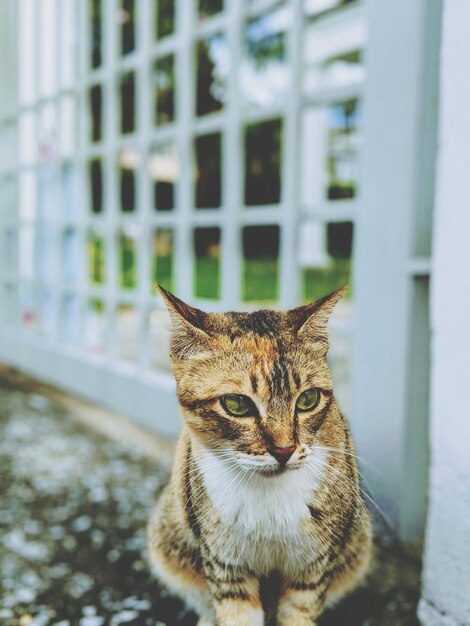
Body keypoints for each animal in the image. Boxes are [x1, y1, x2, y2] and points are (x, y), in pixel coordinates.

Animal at [147, 286, 370, 620]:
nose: (284, 450)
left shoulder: (314, 565)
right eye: (236, 404)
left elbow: (299, 613)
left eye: (308, 399)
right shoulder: (224, 563)